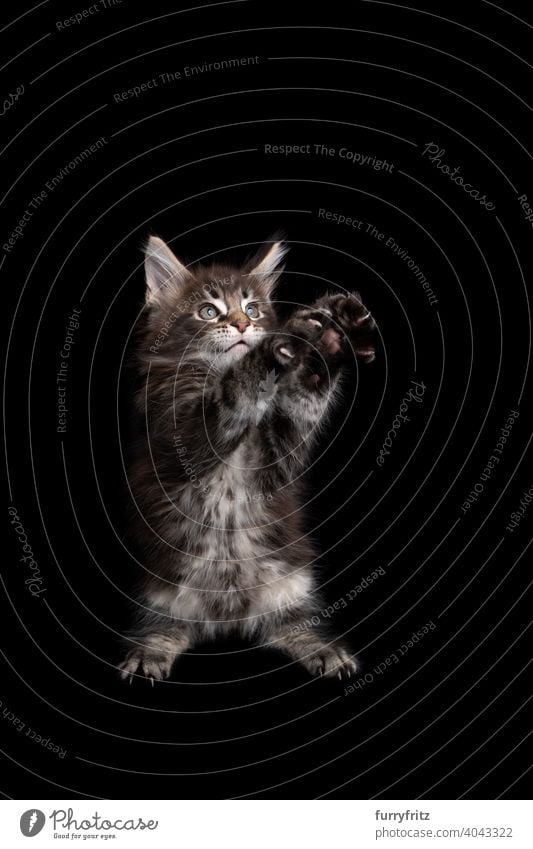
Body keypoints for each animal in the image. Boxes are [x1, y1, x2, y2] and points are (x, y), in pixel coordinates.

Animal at [118, 234, 376, 684]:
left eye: (253, 308)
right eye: (208, 311)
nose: (243, 325)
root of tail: (227, 619)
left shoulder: (273, 459)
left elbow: (304, 397)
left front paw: (323, 344)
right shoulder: (181, 434)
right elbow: (233, 394)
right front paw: (280, 344)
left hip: (289, 580)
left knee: (290, 623)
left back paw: (323, 650)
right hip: (160, 589)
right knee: (165, 626)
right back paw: (149, 654)